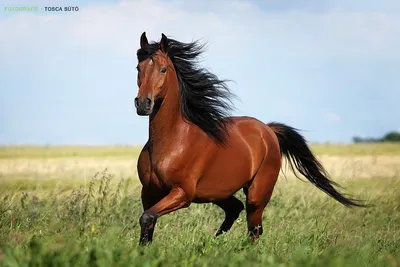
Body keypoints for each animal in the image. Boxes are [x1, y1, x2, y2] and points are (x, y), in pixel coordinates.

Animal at [134, 32, 366, 246]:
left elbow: (147, 218)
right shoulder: (149, 192)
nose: (143, 103)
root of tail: (268, 129)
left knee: (254, 228)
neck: (172, 141)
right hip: (218, 192)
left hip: (257, 193)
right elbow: (148, 226)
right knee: (236, 210)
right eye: (138, 68)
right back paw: (216, 241)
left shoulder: (183, 193)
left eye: (163, 69)